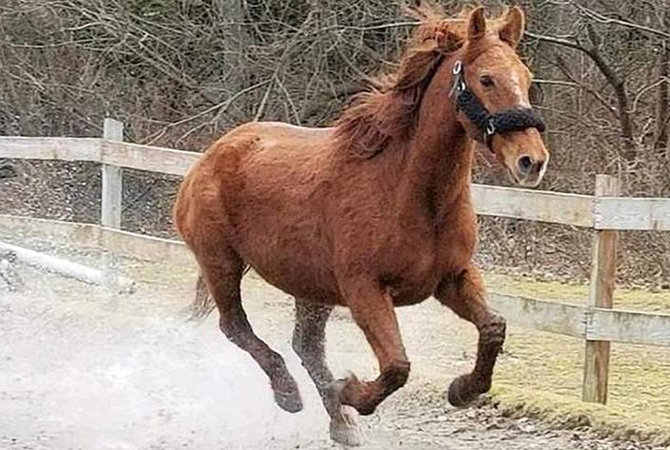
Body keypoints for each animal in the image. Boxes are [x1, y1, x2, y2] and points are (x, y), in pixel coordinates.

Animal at [175, 4, 552, 446]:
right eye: (486, 79)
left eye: (526, 77)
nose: (532, 161)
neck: (408, 192)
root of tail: (211, 155)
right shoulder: (364, 289)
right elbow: (397, 365)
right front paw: (352, 391)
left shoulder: (452, 278)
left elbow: (494, 328)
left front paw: (463, 390)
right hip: (221, 264)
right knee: (236, 327)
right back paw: (290, 394)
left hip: (310, 286)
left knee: (306, 347)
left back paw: (340, 423)